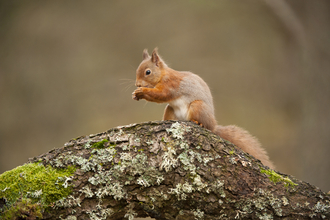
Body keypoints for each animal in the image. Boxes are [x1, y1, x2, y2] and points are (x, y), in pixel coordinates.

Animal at [133, 47, 274, 168]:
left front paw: (142, 91)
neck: (162, 75)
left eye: (148, 72)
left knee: (205, 124)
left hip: (197, 106)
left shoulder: (171, 85)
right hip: (171, 109)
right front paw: (136, 94)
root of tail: (214, 126)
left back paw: (198, 123)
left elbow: (161, 94)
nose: (137, 84)